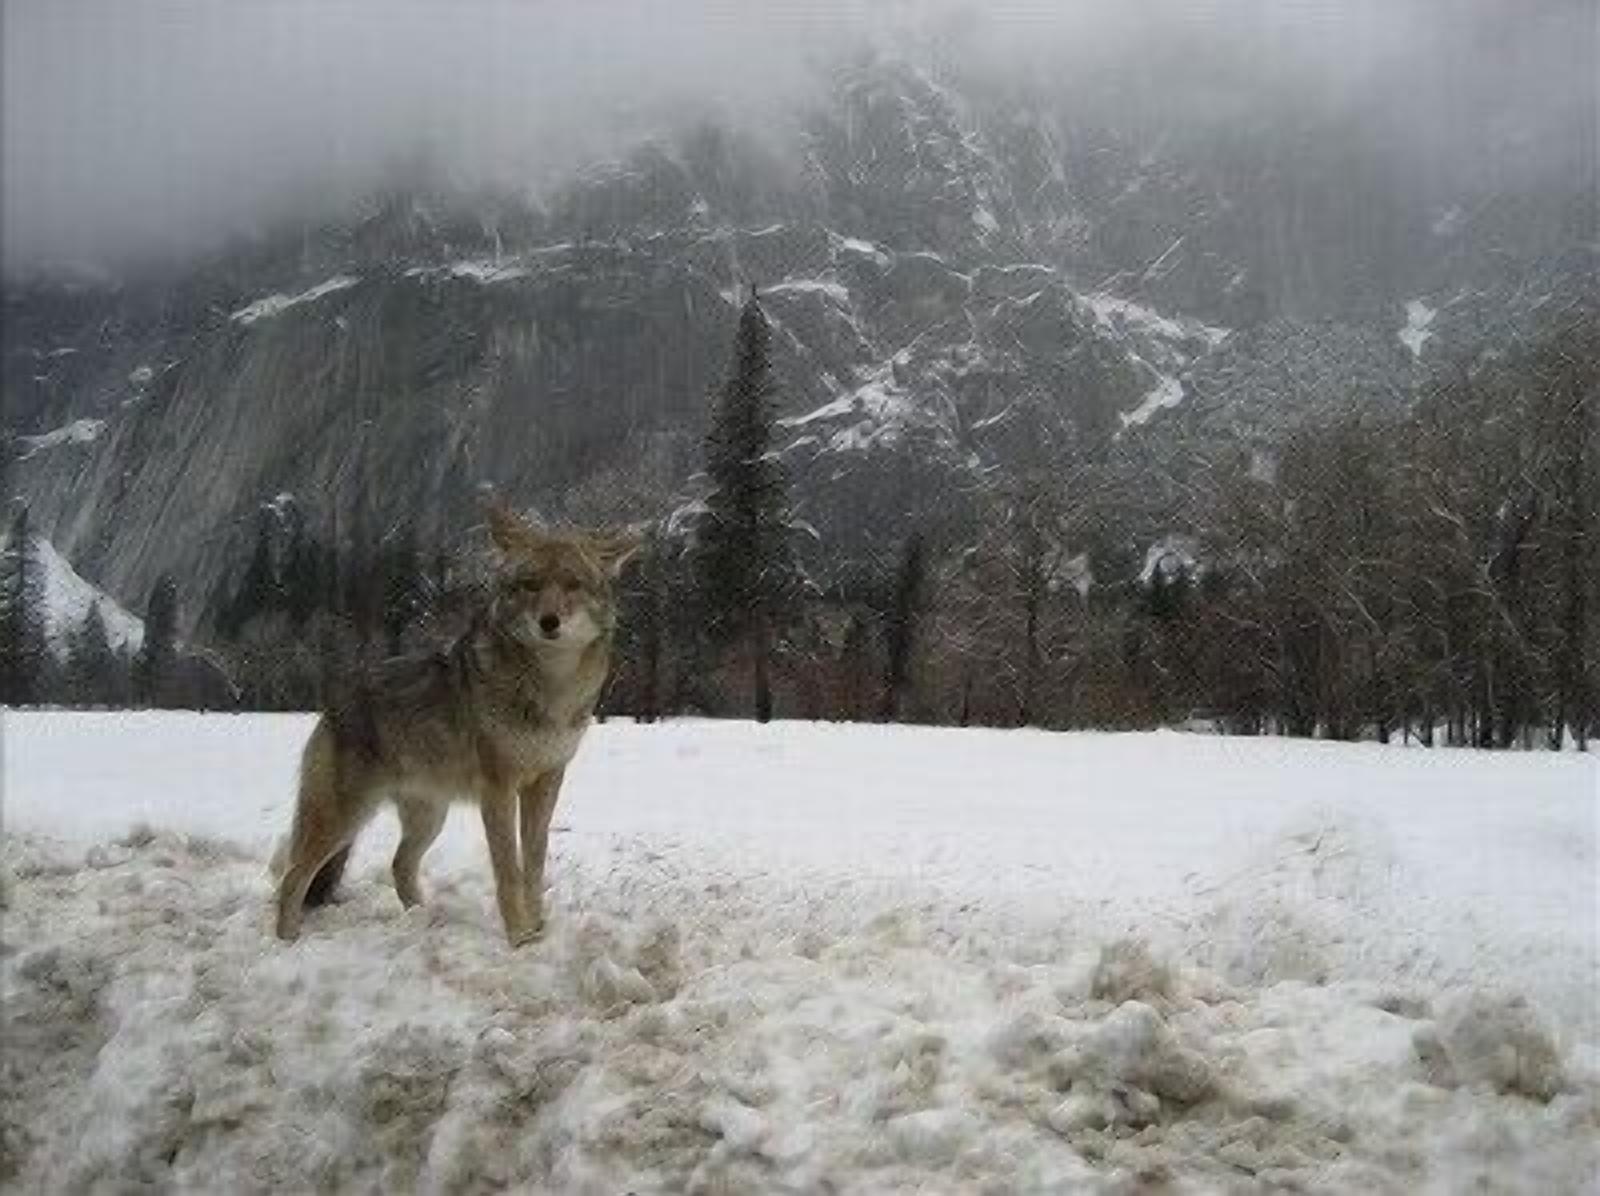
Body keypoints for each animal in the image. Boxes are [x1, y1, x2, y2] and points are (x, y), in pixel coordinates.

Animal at [272, 501, 643, 946]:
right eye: (531, 585)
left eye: (572, 585)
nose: (549, 621)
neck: (551, 688)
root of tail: (331, 705)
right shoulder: (498, 788)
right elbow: (508, 870)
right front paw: (519, 938)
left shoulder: (547, 781)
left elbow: (534, 864)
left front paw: (538, 930)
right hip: (344, 818)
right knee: (292, 876)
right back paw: (286, 941)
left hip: (428, 817)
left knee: (398, 865)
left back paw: (424, 919)